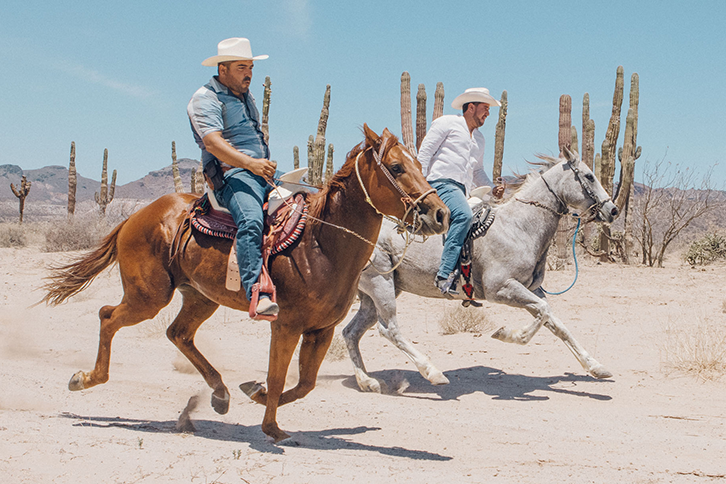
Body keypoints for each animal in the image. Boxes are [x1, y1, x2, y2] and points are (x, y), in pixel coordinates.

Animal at [44, 125, 450, 442]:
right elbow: (279, 376)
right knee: (108, 316)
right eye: (396, 167)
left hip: (200, 297)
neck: (321, 243)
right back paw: (86, 378)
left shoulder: (321, 330)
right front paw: (270, 426)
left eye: (419, 165)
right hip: (149, 296)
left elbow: (304, 384)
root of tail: (135, 217)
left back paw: (220, 394)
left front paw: (254, 393)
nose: (440, 214)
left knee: (178, 333)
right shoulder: (285, 325)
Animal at [342, 148, 620, 394]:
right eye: (589, 176)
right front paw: (507, 334)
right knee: (388, 329)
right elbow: (543, 313)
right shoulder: (501, 289)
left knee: (351, 332)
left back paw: (368, 382)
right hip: (381, 285)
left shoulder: (530, 290)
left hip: (373, 295)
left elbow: (555, 323)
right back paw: (432, 372)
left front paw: (595, 367)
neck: (518, 227)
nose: (613, 210)